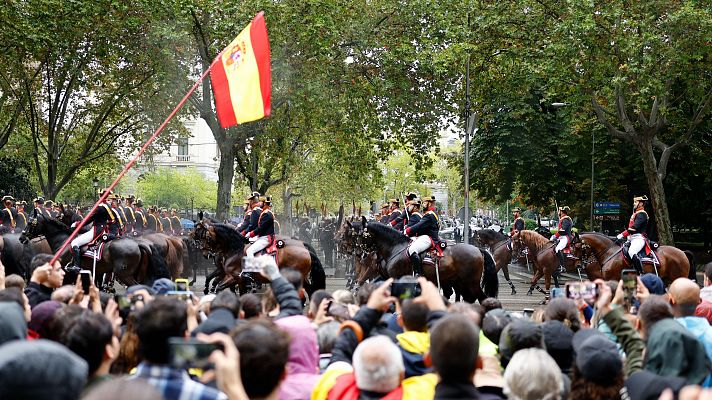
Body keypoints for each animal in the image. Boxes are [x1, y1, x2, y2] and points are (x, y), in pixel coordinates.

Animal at [23, 214, 170, 290]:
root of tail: (138, 243)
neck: (64, 241)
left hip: (125, 275)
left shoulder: (66, 276)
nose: (21, 237)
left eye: (30, 223)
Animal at [195, 220, 328, 296]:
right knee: (310, 291)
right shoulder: (237, 279)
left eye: (207, 237)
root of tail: (305, 249)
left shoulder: (234, 277)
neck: (235, 249)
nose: (205, 254)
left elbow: (219, 286)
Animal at [342, 219, 498, 304]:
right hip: (460, 283)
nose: (356, 253)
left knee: (481, 298)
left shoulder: (396, 278)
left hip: (470, 283)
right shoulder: (385, 276)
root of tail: (477, 249)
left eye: (358, 235)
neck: (394, 247)